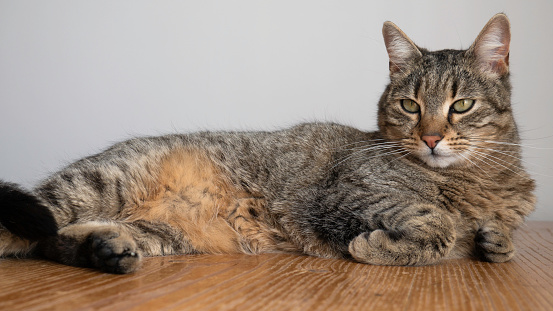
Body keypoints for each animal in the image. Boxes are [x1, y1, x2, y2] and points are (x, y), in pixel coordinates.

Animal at [0, 13, 536, 274]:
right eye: (409, 105)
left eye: (460, 105)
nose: (430, 137)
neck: (478, 181)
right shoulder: (346, 192)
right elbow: (435, 221)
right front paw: (379, 246)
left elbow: (493, 239)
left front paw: (494, 242)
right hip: (91, 186)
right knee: (31, 230)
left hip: (158, 233)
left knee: (52, 242)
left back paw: (107, 250)